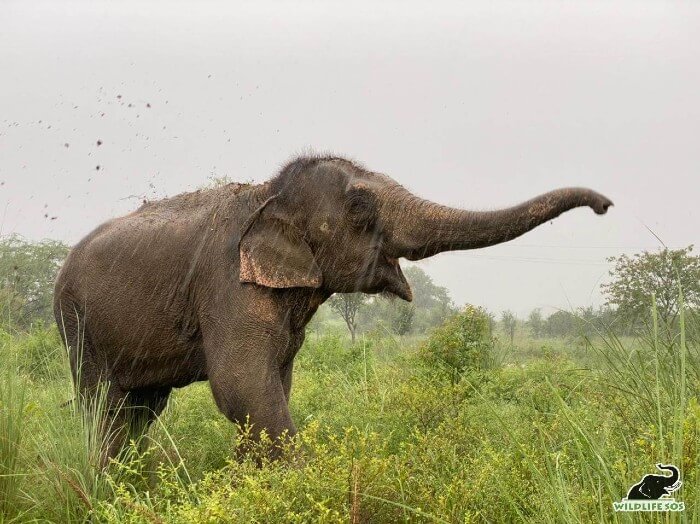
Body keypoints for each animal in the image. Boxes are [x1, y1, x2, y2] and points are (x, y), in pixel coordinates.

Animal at [54, 154, 612, 460]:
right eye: (362, 208)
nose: (605, 205)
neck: (269, 193)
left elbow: (273, 387)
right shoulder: (227, 285)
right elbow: (243, 389)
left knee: (141, 408)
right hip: (75, 322)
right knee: (103, 405)